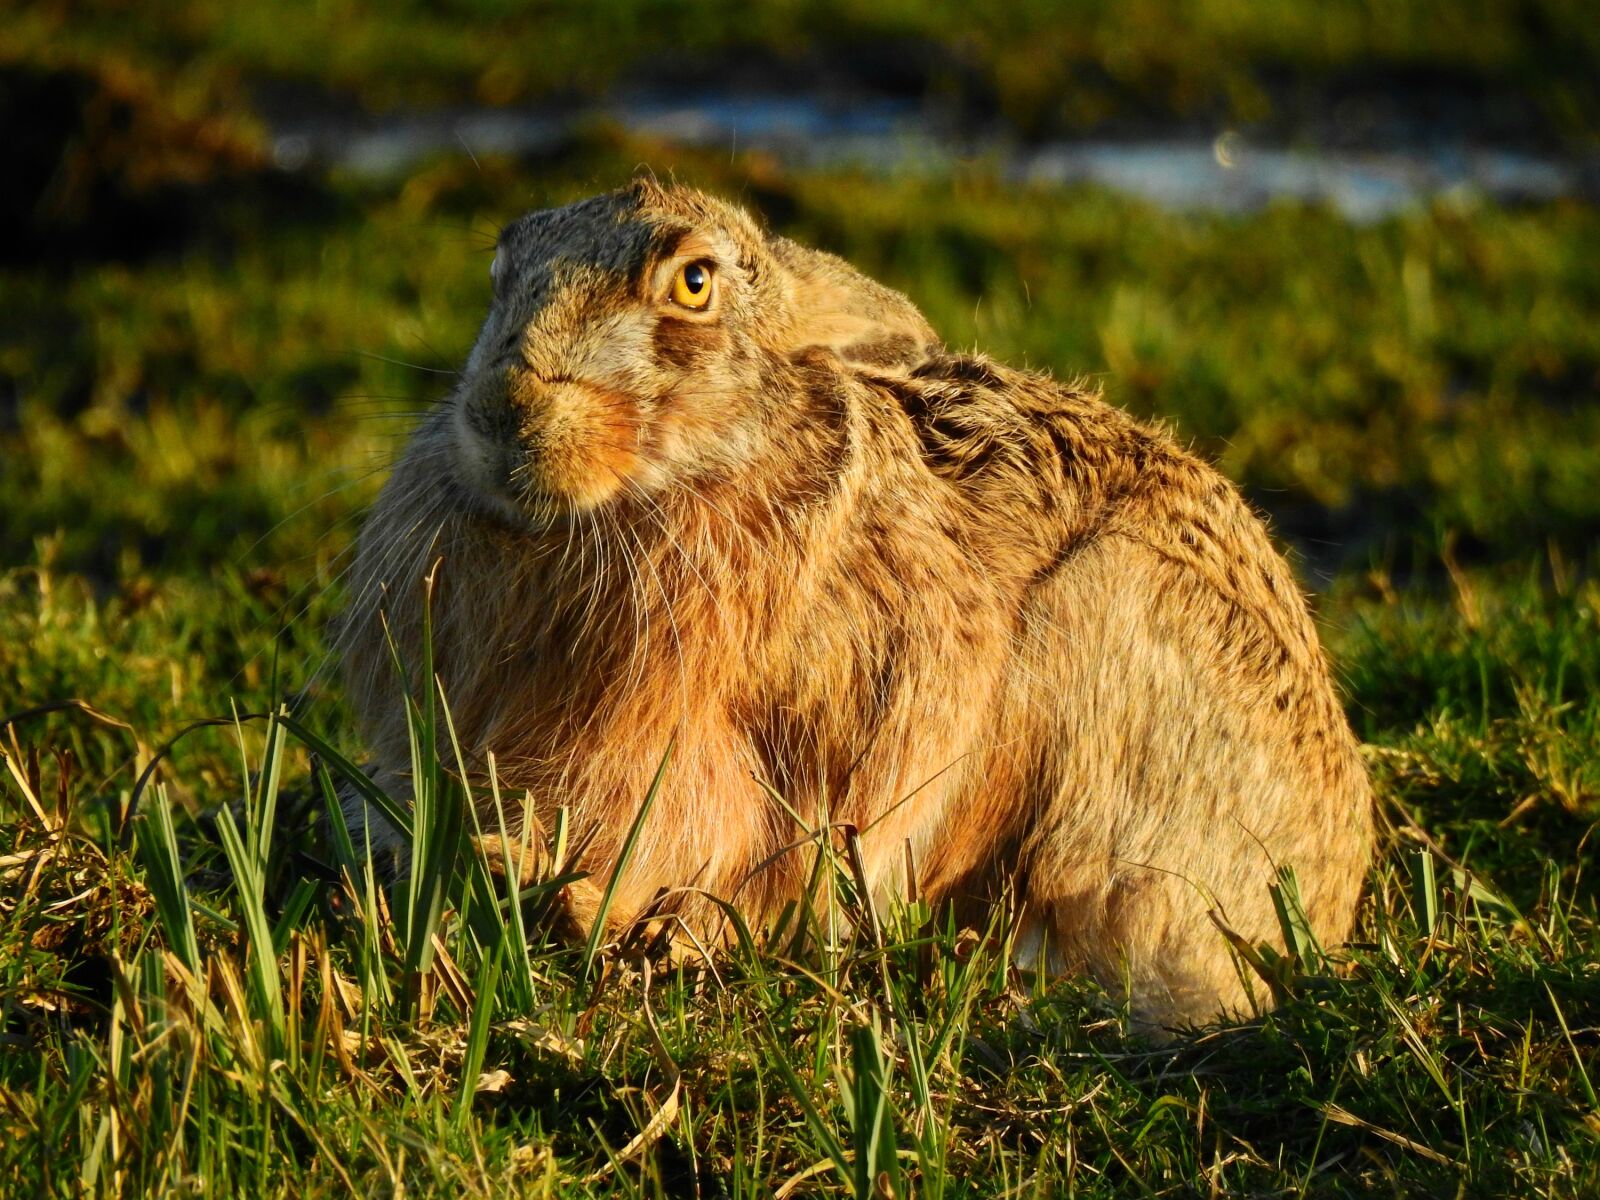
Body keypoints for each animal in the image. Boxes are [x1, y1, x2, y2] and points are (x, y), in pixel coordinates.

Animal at [339, 179, 1373, 1031]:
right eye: (500, 273)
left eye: (694, 285)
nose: (504, 414)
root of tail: (1328, 892)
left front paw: (608, 912)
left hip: (1100, 636)